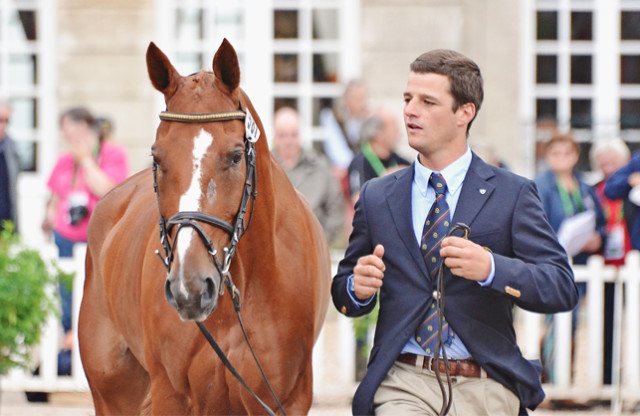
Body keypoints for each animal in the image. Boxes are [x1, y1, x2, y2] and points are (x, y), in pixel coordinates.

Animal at [76, 38, 330, 412]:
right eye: (157, 158)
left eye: (236, 156)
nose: (190, 288)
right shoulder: (171, 395)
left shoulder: (282, 399)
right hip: (115, 394)